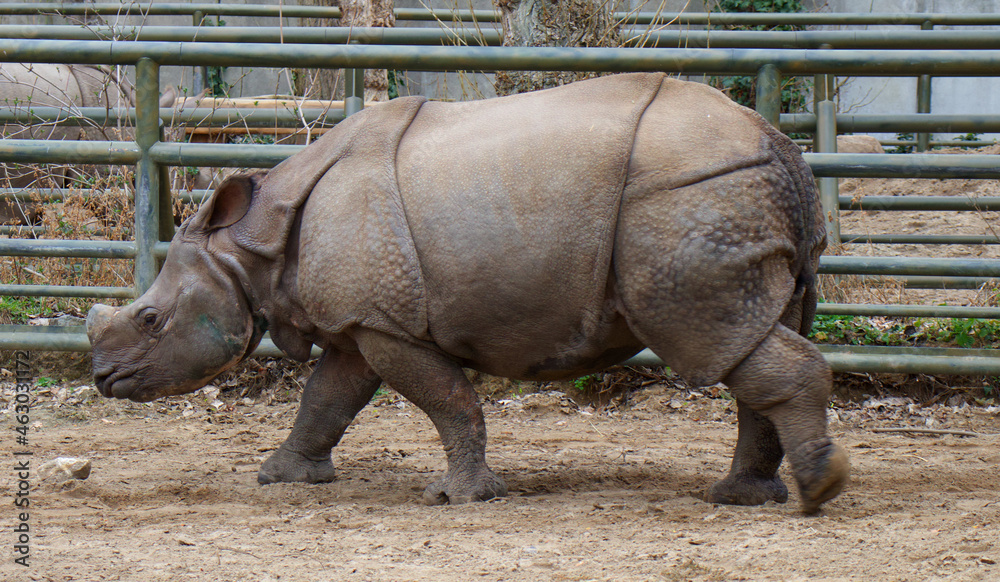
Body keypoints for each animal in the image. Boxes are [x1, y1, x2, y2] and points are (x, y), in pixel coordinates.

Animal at [86, 72, 848, 514]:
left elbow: (446, 399)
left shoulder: (384, 323)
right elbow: (326, 399)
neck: (250, 246)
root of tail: (780, 145)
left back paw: (816, 494)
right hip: (733, 199)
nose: (100, 378)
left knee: (711, 337)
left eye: (149, 318)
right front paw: (281, 479)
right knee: (749, 337)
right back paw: (746, 498)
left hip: (689, 201)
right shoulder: (362, 321)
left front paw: (458, 498)